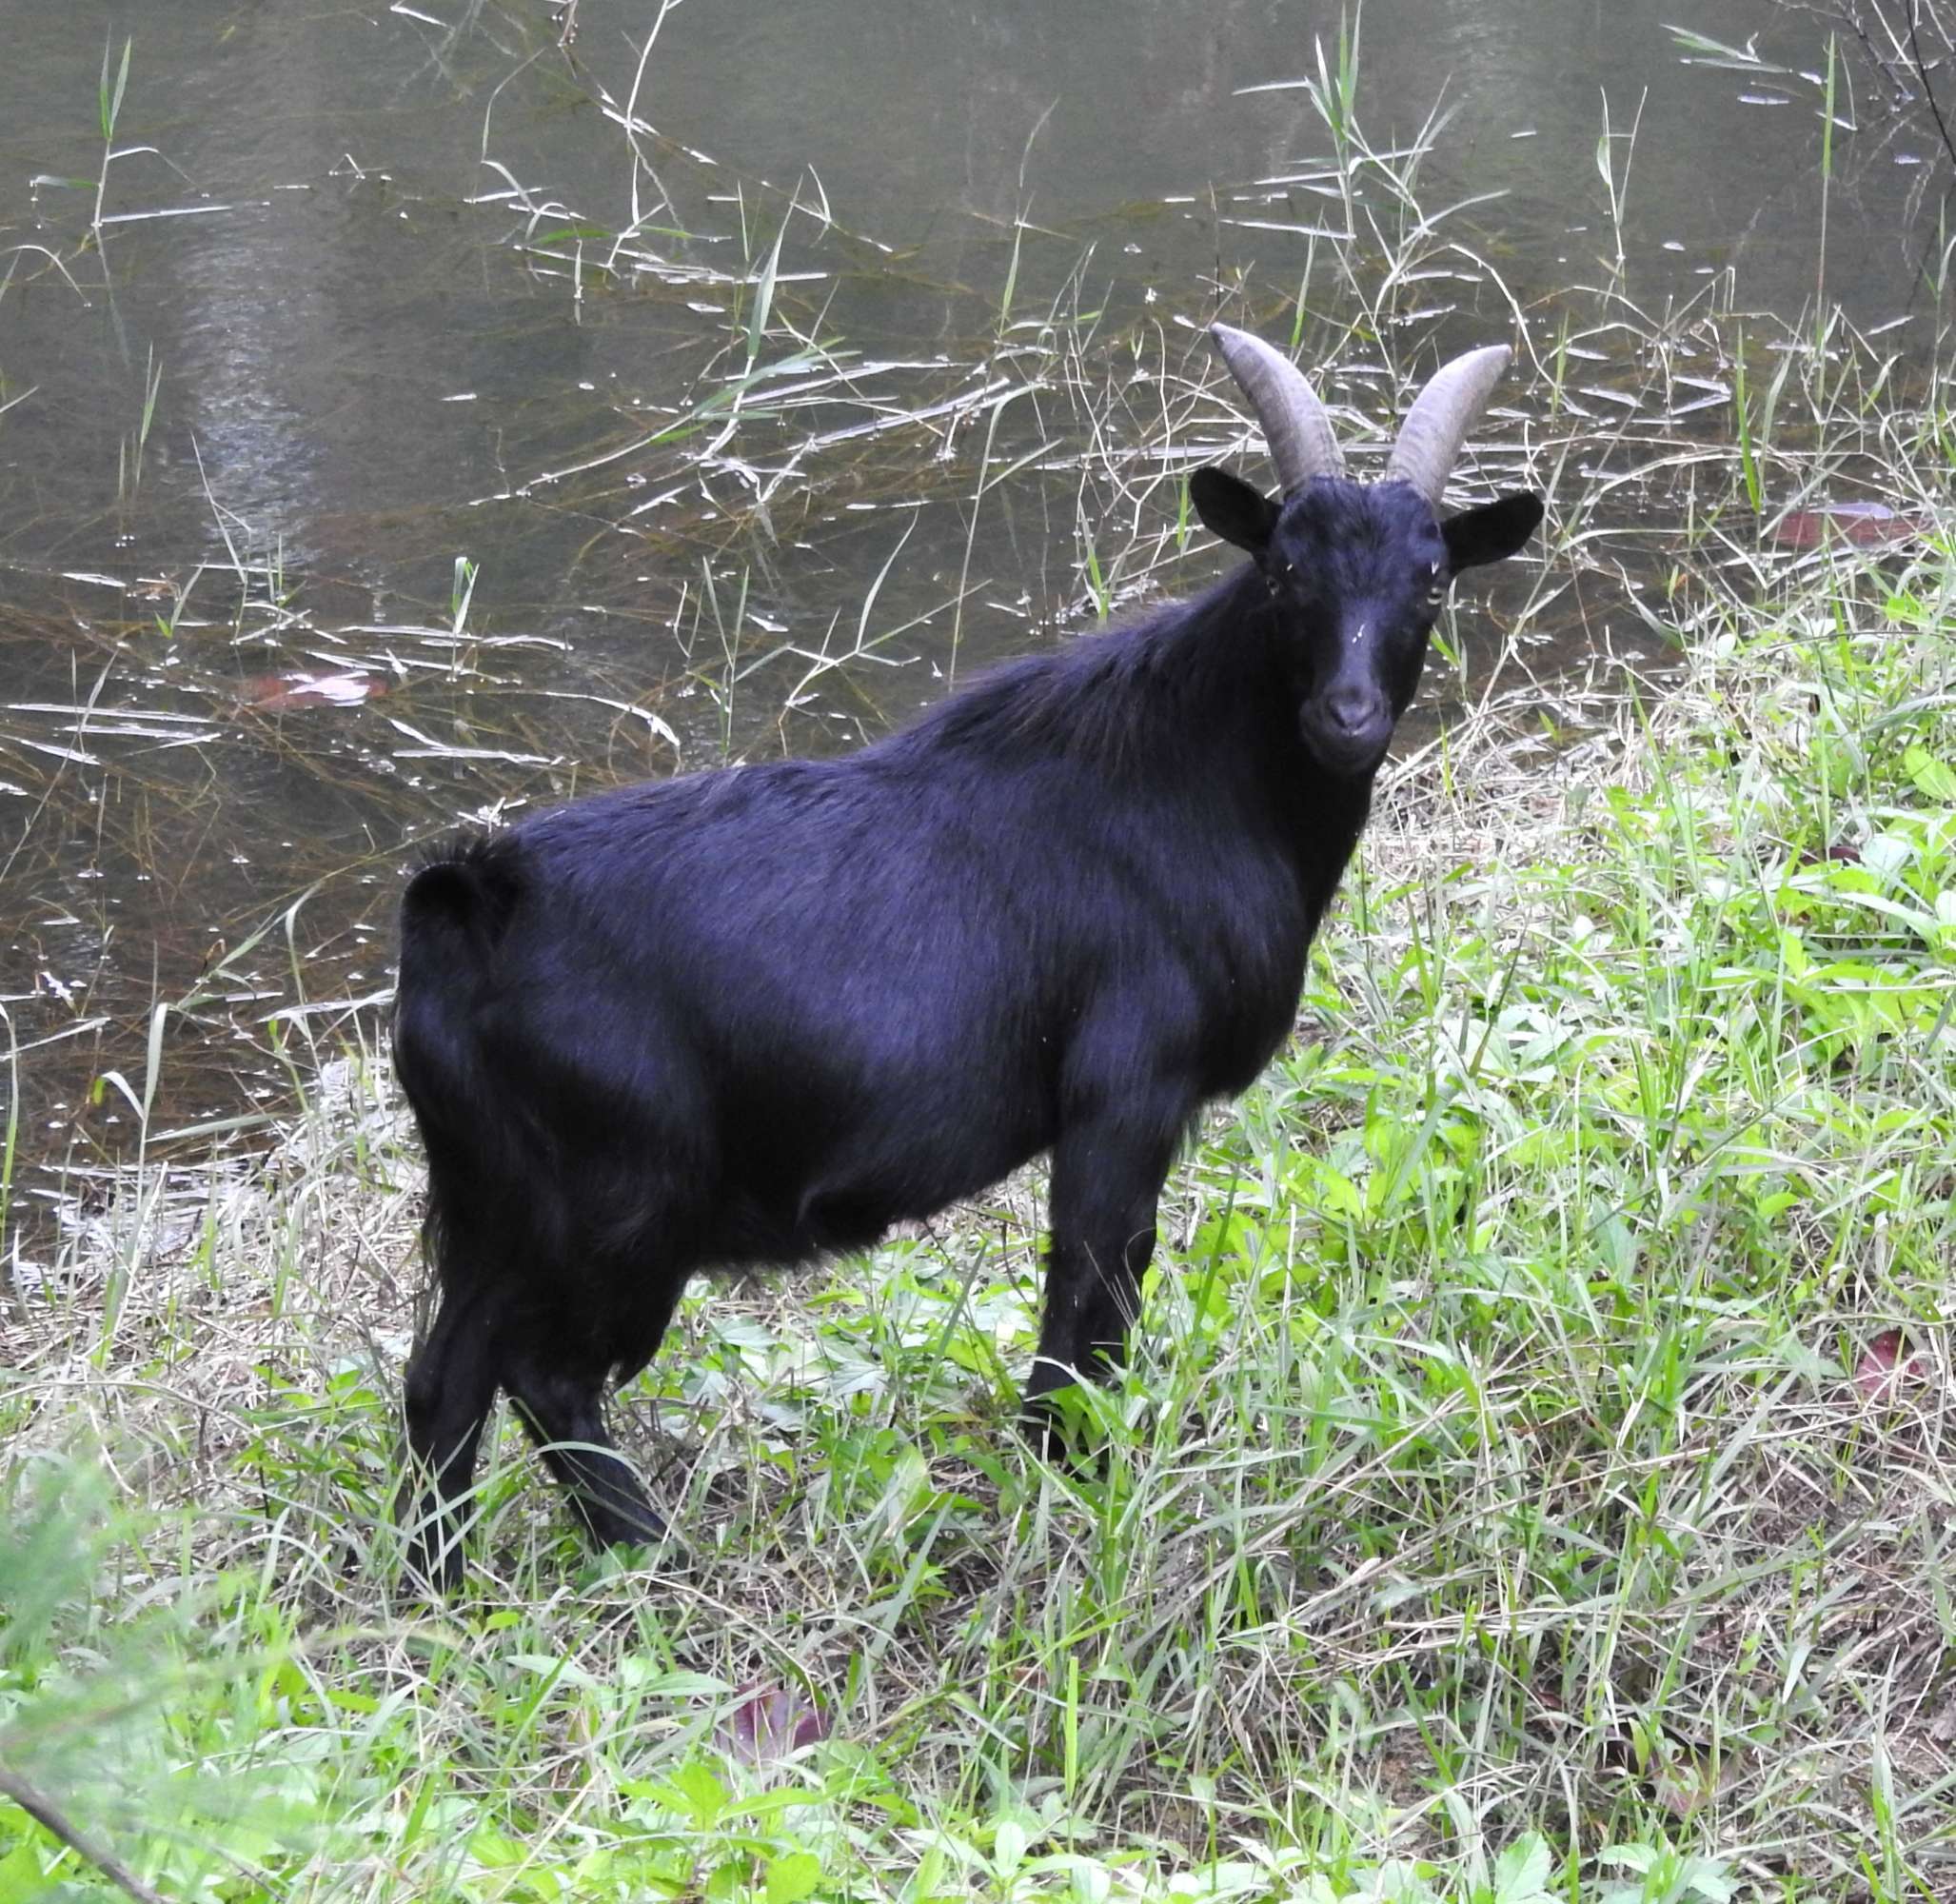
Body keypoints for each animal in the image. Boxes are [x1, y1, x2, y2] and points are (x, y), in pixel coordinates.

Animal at [385, 330, 1541, 1589]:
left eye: (1431, 576)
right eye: (1285, 569)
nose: (1347, 715)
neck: (1195, 766)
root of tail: (466, 903)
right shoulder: (1126, 1088)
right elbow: (1093, 1289)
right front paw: (1072, 1479)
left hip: (493, 1196)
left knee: (445, 1376)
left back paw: (439, 1588)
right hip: (623, 1199)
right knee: (547, 1374)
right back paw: (654, 1562)